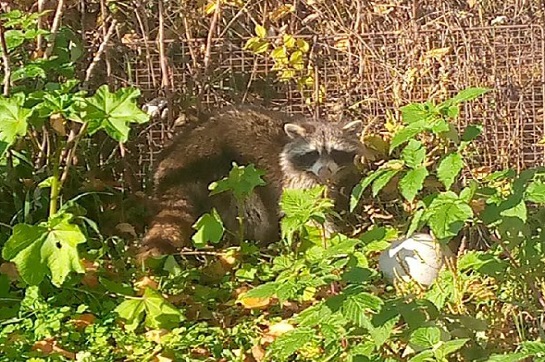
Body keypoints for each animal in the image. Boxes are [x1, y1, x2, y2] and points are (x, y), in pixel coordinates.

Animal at [138, 104, 364, 258]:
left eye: (335, 152)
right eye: (313, 153)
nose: (325, 170)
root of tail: (176, 158)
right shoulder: (292, 181)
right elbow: (306, 213)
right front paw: (334, 240)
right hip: (225, 173)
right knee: (250, 209)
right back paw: (258, 242)